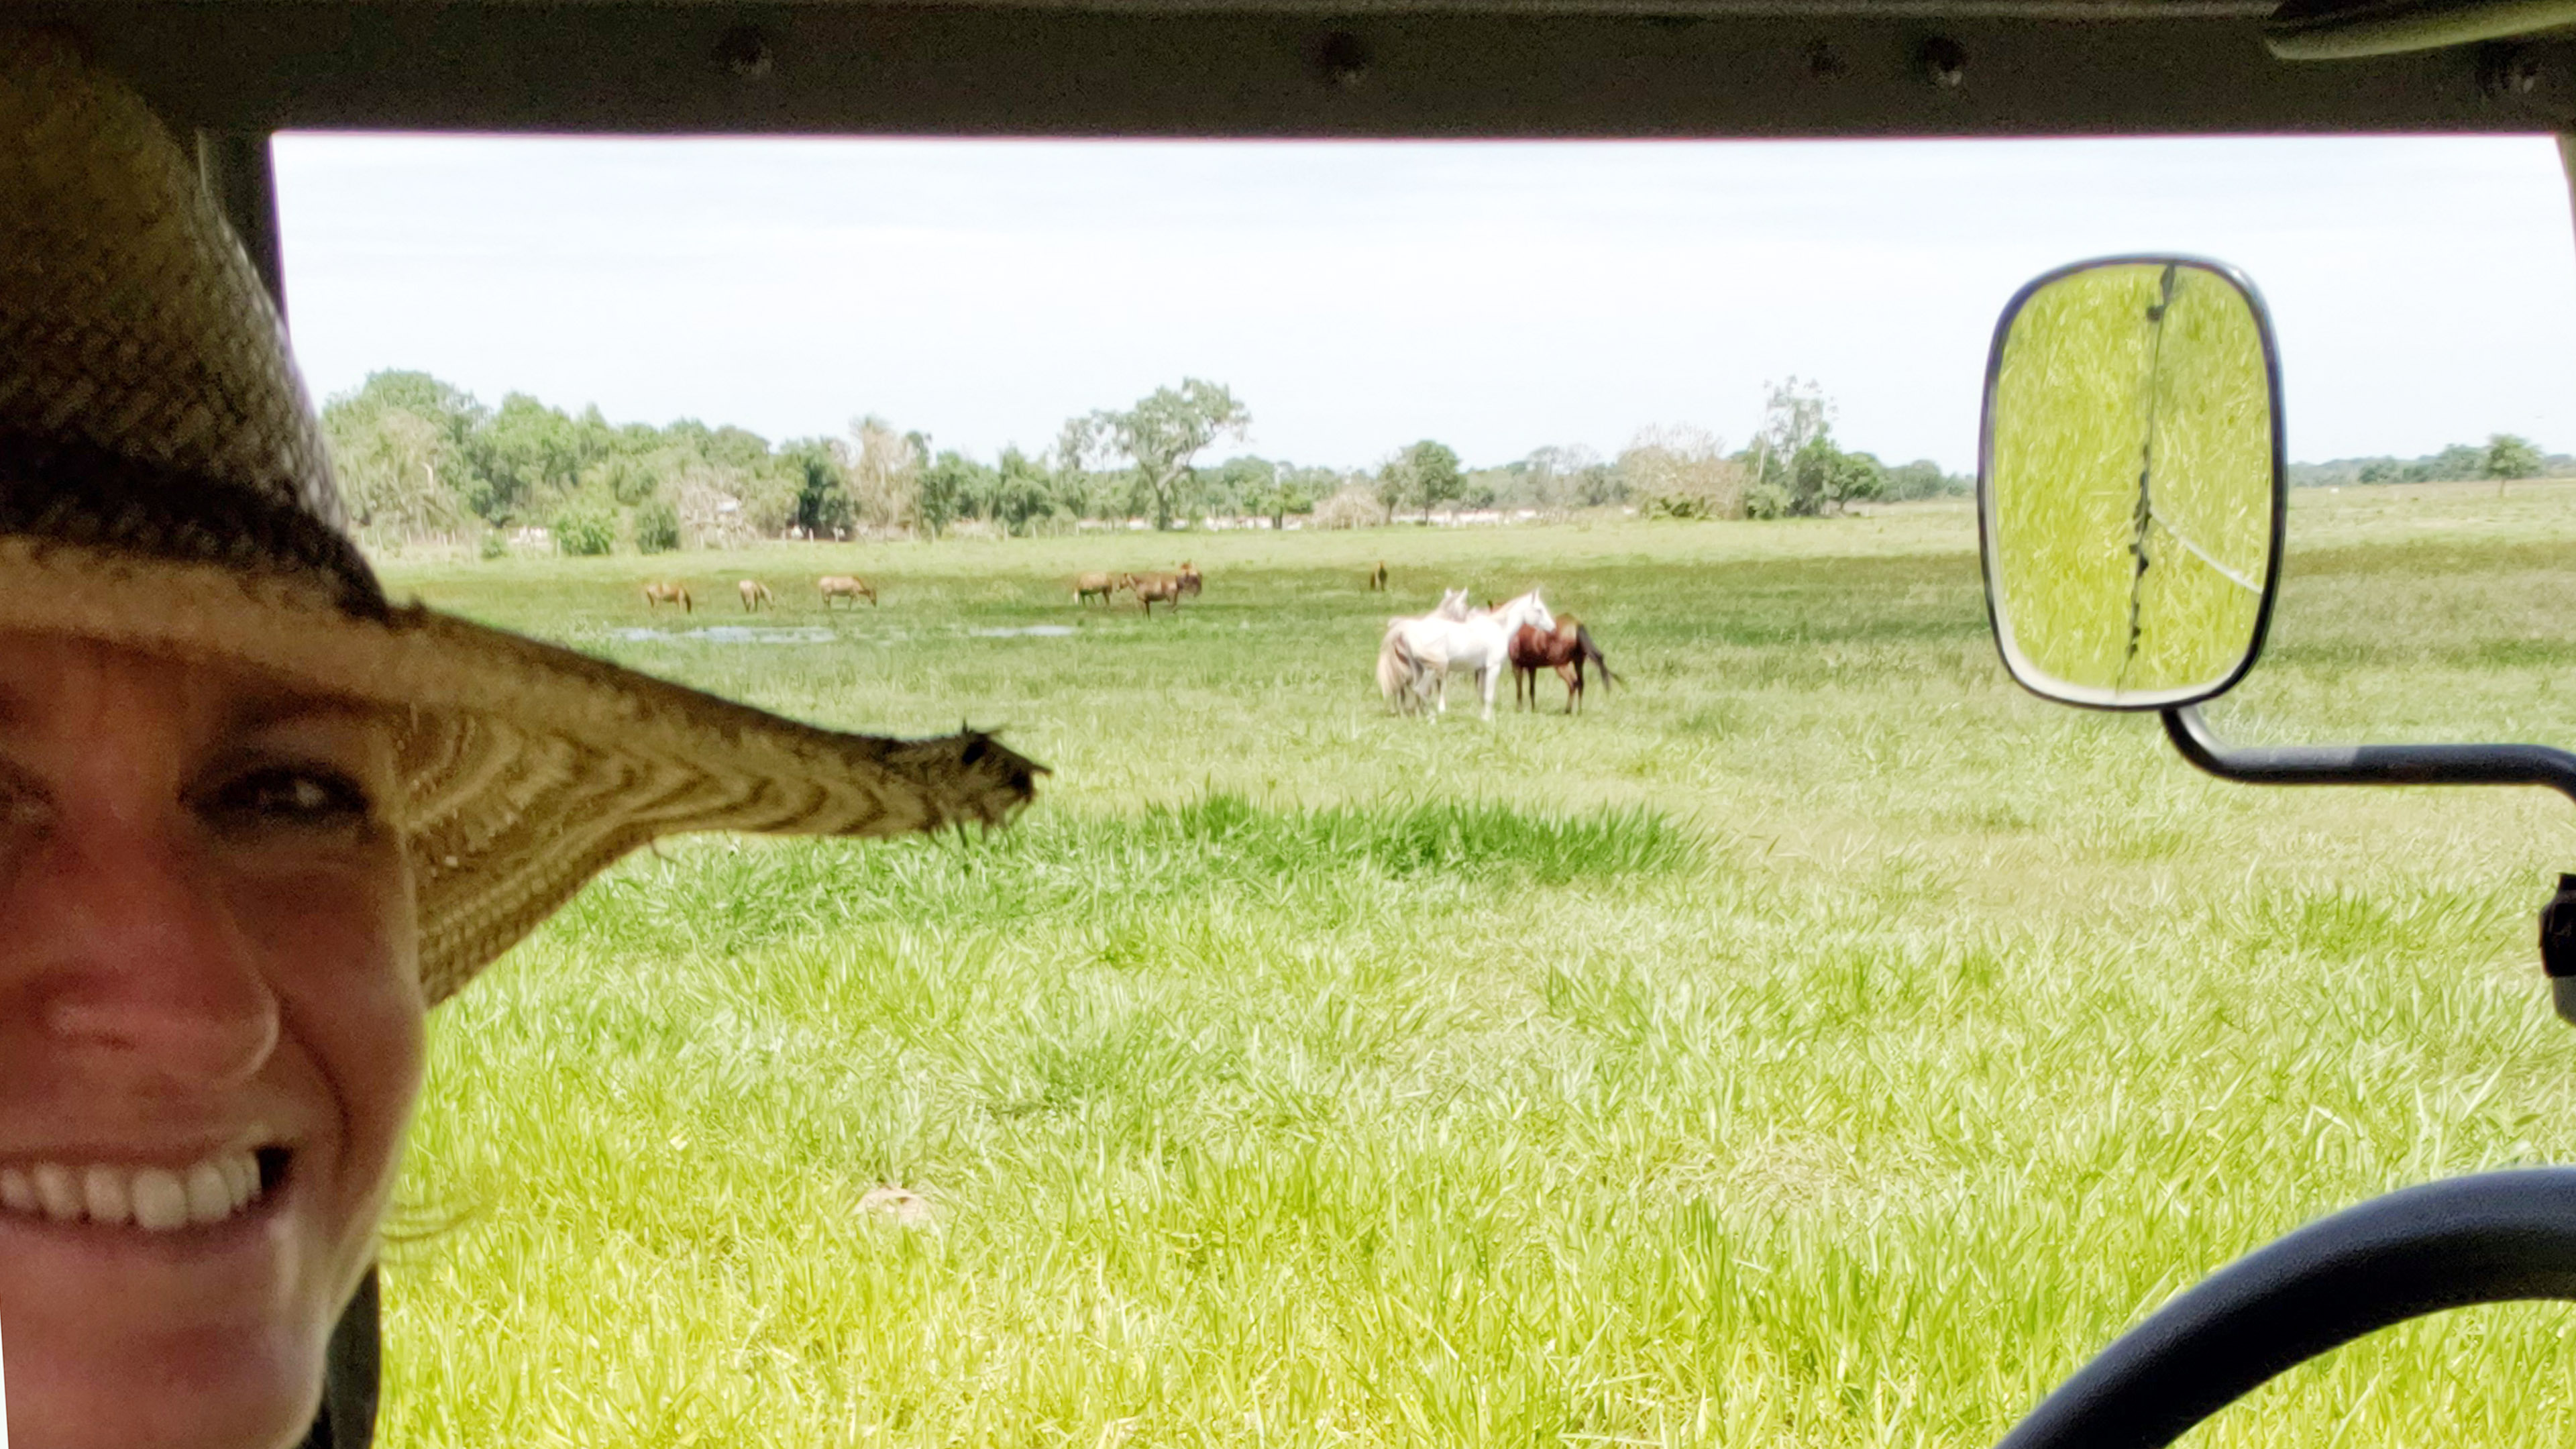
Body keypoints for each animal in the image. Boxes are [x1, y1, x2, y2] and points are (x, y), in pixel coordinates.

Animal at [1391, 588, 1546, 722]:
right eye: (1539, 610)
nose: (1550, 627)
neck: (1499, 628)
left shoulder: (1482, 669)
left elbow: (1482, 694)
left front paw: (1484, 717)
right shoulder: (1493, 667)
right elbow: (1488, 695)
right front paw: (1489, 720)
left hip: (1419, 669)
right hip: (1433, 669)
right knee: (1420, 690)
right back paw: (1432, 717)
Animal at [1504, 608, 1617, 711]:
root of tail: (1576, 625)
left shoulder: (1517, 665)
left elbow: (1519, 689)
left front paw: (1519, 709)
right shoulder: (1532, 667)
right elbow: (1532, 690)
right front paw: (1533, 709)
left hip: (1561, 666)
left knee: (1573, 683)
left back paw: (1568, 710)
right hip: (1578, 662)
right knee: (1581, 684)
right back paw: (1579, 711)